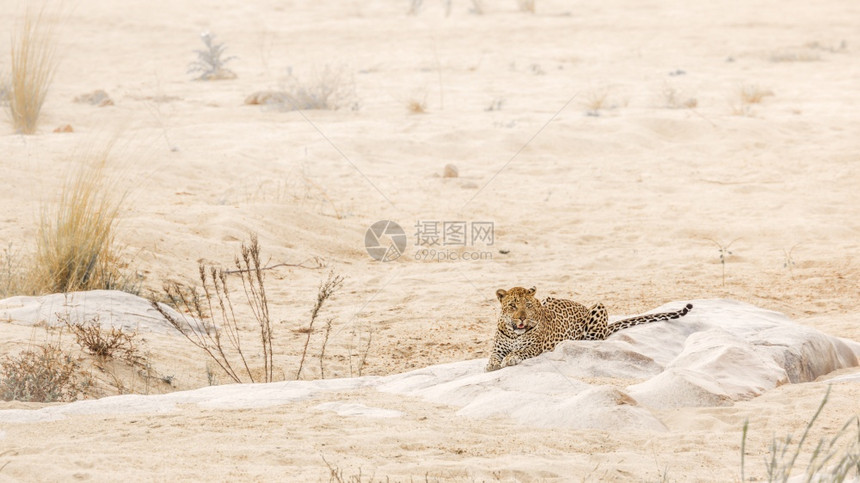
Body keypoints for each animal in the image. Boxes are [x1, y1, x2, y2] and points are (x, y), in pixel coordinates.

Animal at [488, 286, 696, 372]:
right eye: (513, 305)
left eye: (528, 305)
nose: (522, 318)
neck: (514, 333)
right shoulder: (497, 347)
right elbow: (493, 356)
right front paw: (492, 364)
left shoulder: (535, 347)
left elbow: (519, 351)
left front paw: (510, 358)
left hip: (599, 307)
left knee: (597, 337)